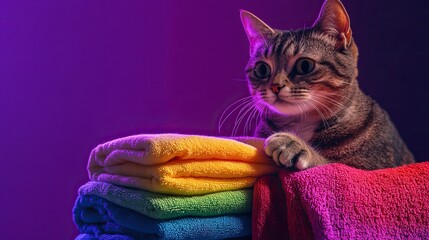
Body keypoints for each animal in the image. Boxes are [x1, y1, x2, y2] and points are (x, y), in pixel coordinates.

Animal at [239, 0, 412, 170]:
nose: (275, 86)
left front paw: (297, 146)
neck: (302, 123)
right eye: (261, 69)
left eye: (305, 65)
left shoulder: (371, 168)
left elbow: (331, 164)